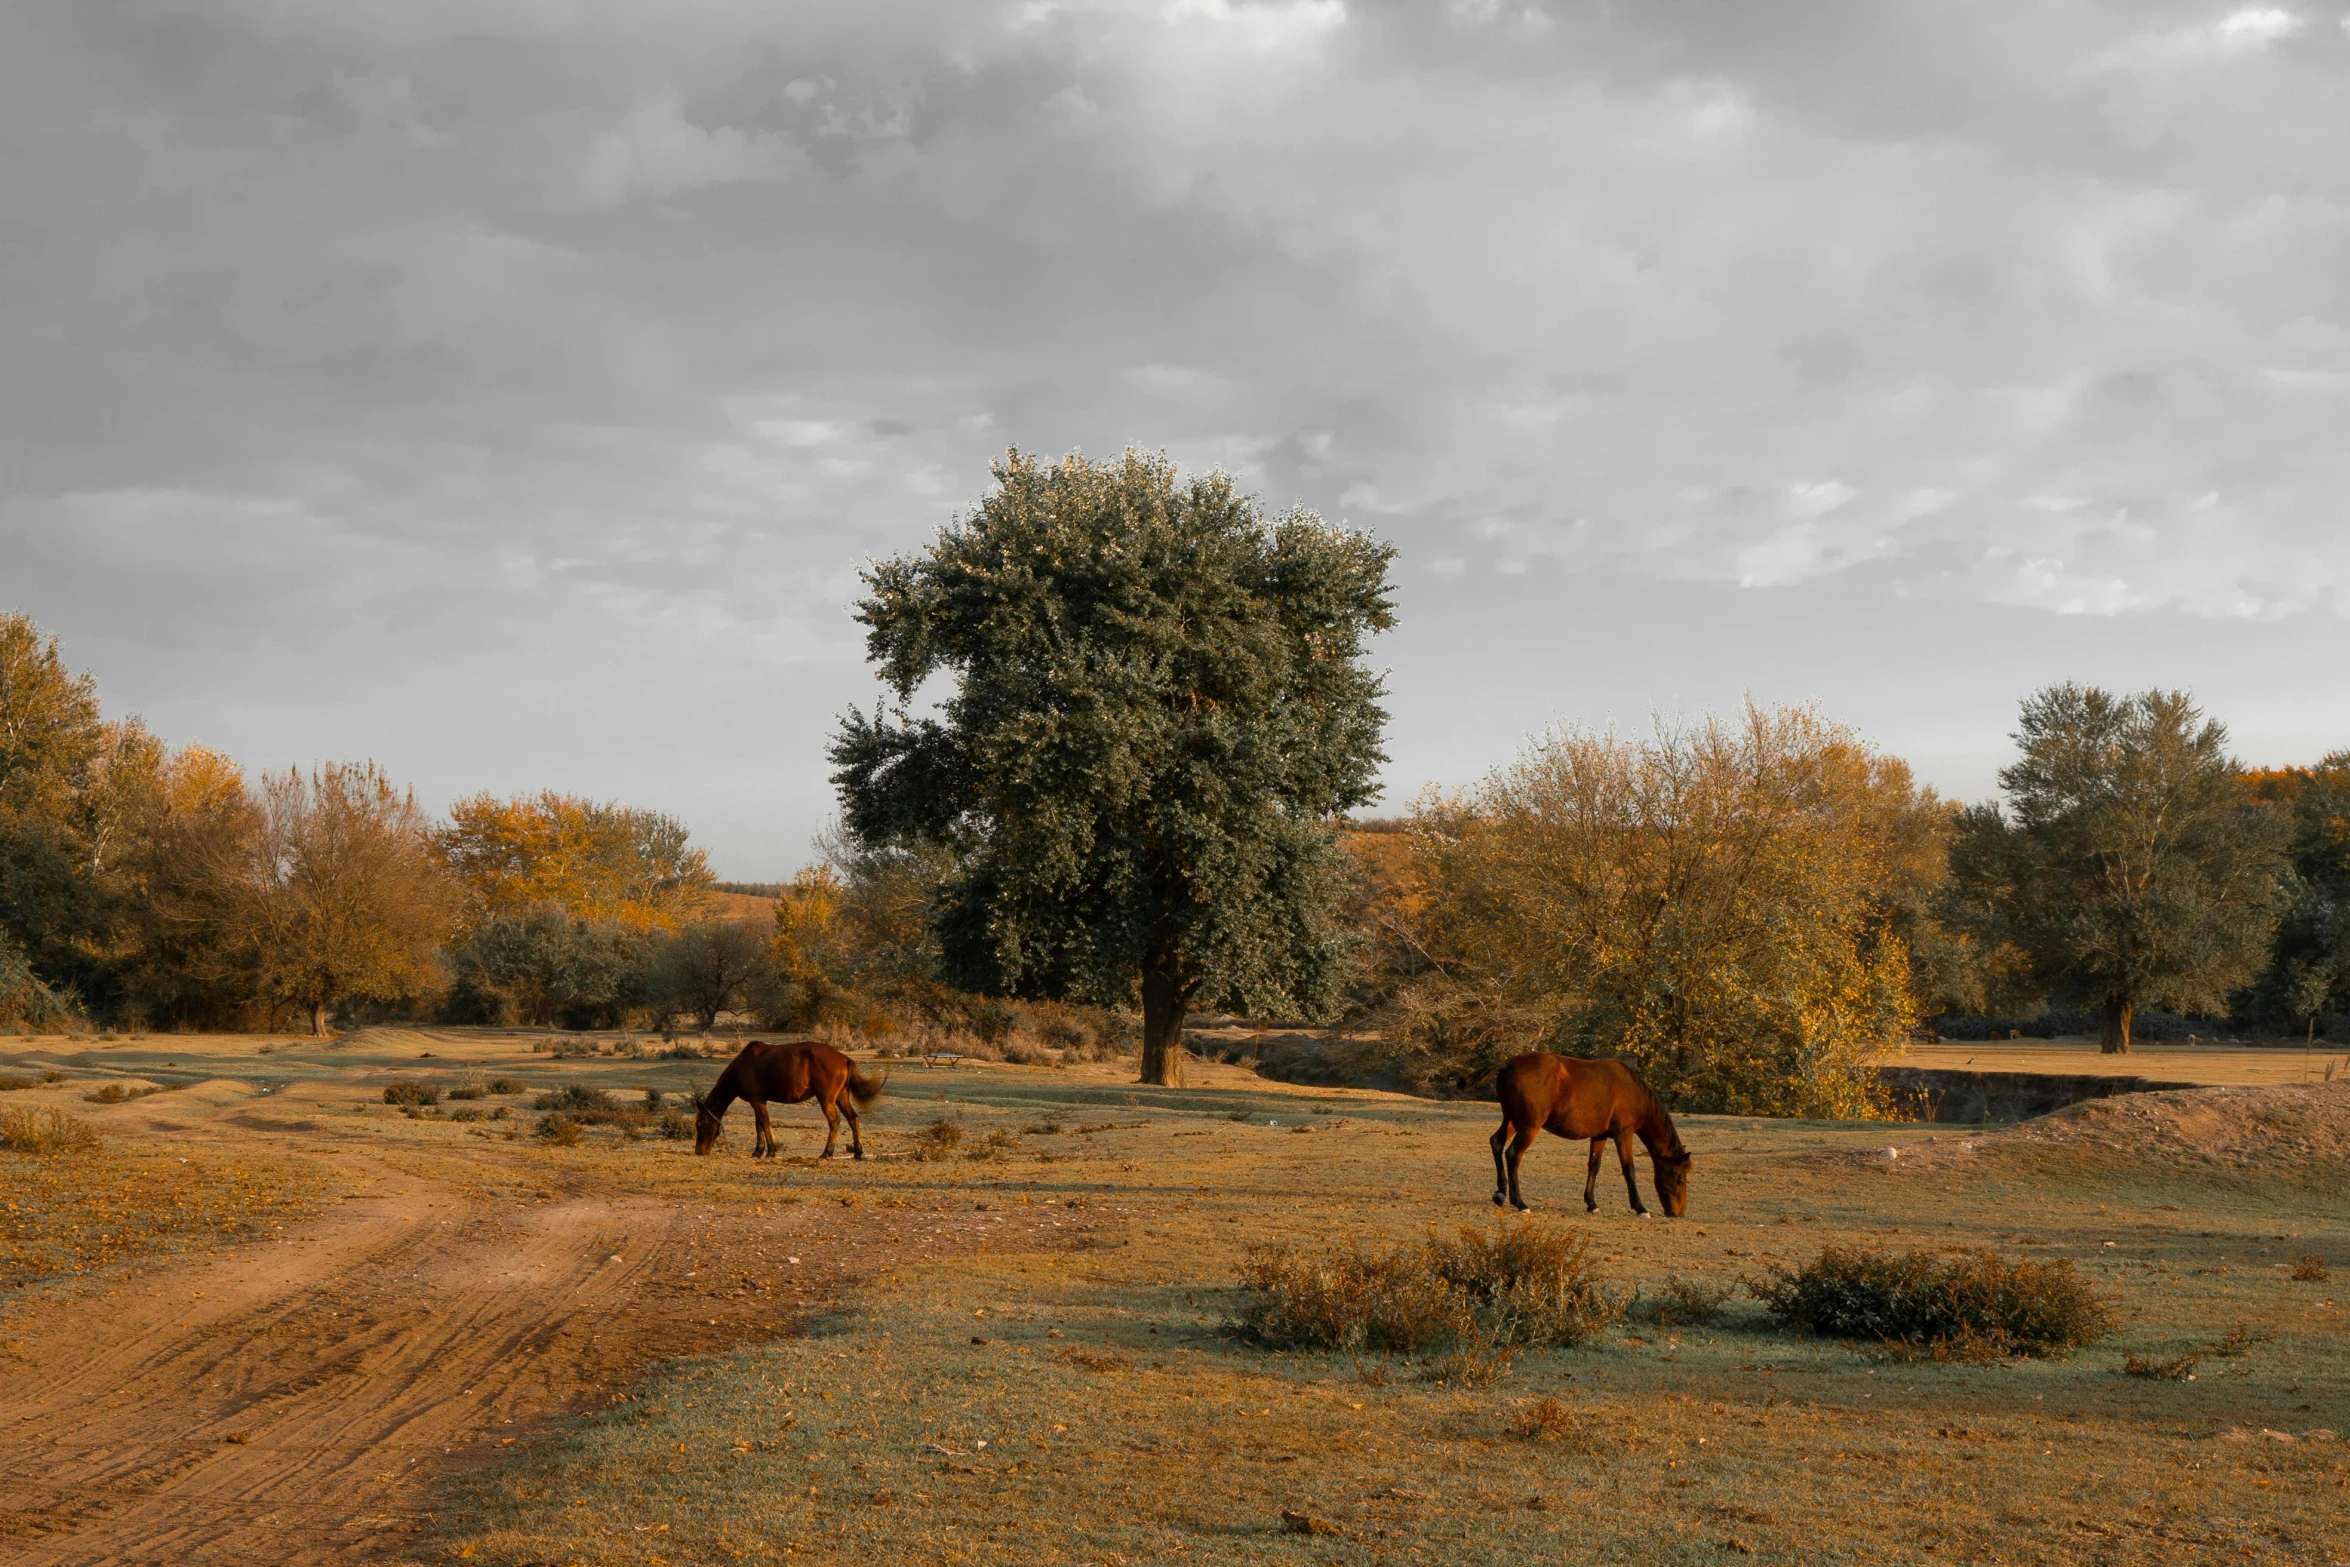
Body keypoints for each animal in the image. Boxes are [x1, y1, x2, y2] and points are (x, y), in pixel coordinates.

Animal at [695, 1043, 888, 1165]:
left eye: (699, 1124)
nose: (699, 1151)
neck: (743, 1066)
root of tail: (845, 1059)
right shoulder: (757, 1101)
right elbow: (758, 1125)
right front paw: (758, 1151)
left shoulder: (757, 1101)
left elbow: (765, 1123)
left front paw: (771, 1151)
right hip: (841, 1098)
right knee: (853, 1119)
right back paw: (858, 1152)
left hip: (826, 1100)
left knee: (834, 1122)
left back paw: (826, 1153)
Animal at [1485, 1061, 1691, 1221]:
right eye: (1680, 1178)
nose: (1678, 1212)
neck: (1632, 1090)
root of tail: (1511, 1063)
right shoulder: (1624, 1134)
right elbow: (1629, 1169)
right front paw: (1640, 1208)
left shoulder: (1600, 1136)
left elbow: (1594, 1165)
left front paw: (1592, 1204)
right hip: (1529, 1127)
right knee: (1513, 1155)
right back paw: (1520, 1203)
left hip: (1512, 1120)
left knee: (1496, 1142)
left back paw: (1500, 1192)